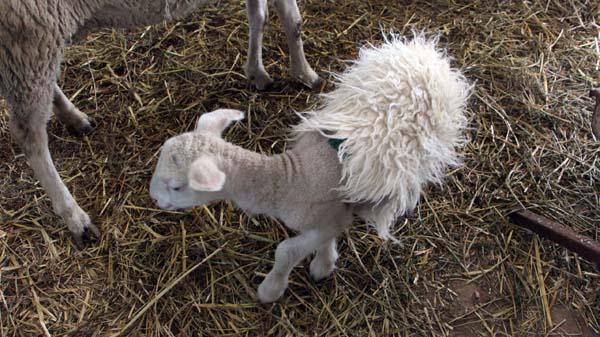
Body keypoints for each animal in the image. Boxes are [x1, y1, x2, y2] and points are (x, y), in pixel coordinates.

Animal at [0, 0, 322, 244]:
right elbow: (293, 20)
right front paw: (305, 73)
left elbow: (259, 16)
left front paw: (257, 72)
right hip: (32, 32)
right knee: (29, 134)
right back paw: (75, 218)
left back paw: (73, 117)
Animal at [151, 35, 474, 300]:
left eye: (177, 186)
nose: (154, 198)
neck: (290, 180)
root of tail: (423, 51)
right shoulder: (332, 216)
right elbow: (324, 239)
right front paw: (326, 261)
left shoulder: (329, 217)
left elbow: (285, 250)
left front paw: (271, 289)